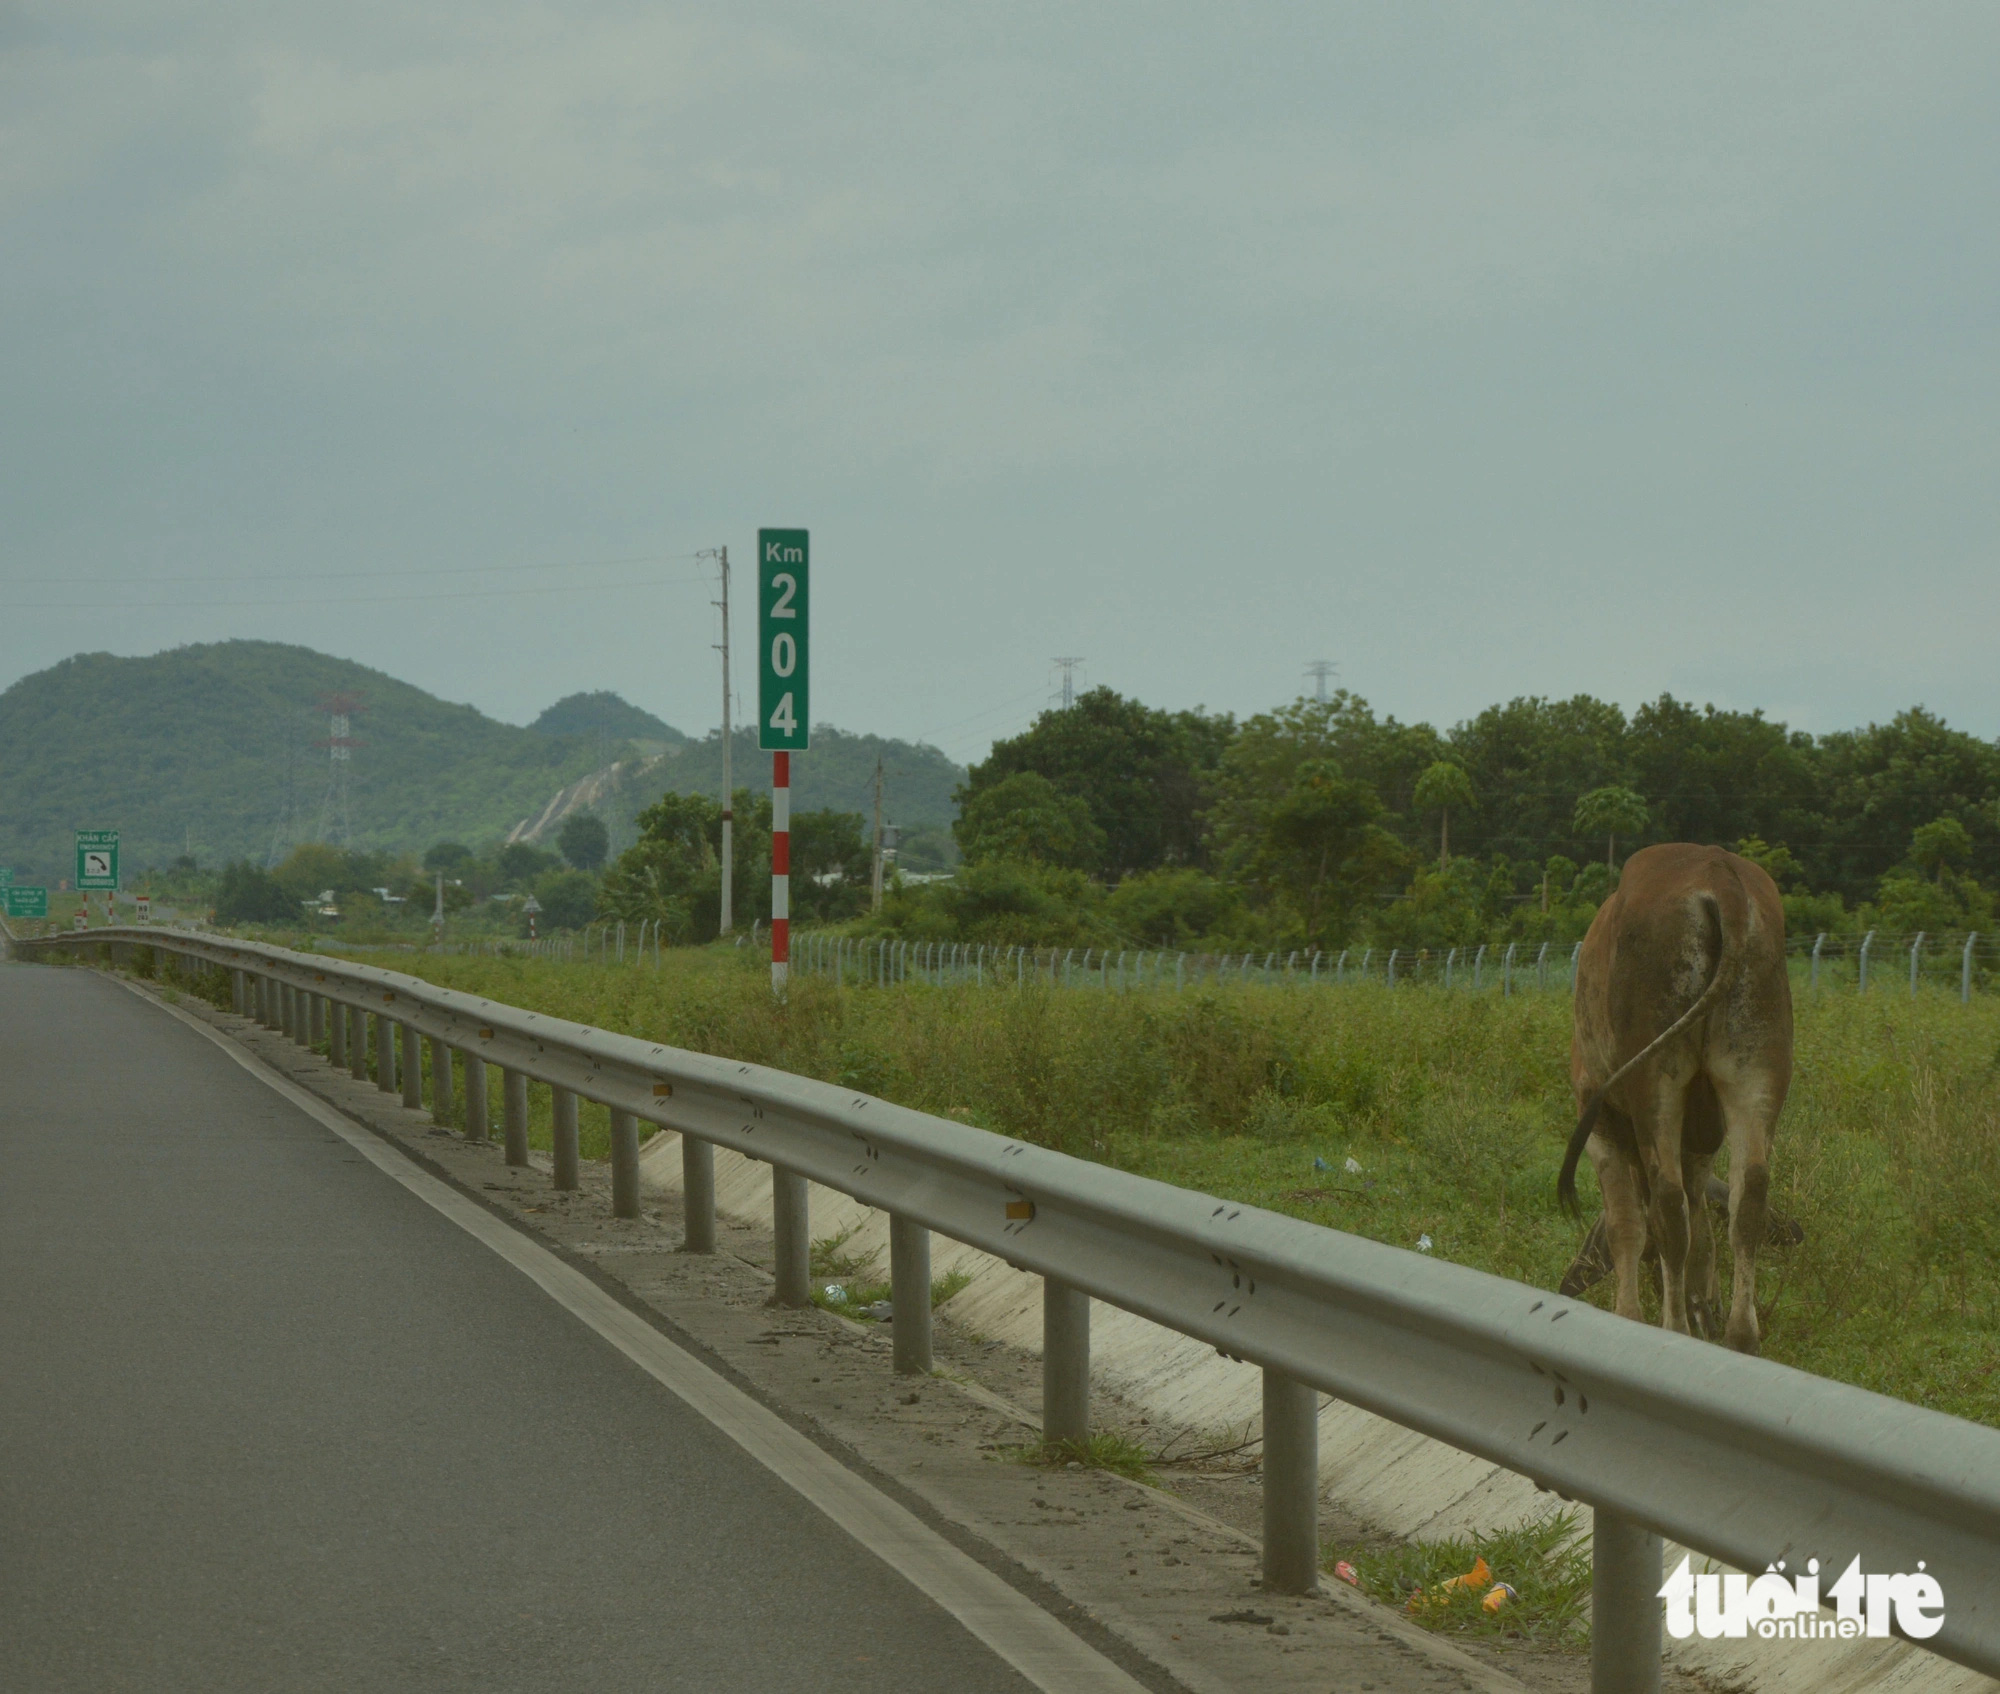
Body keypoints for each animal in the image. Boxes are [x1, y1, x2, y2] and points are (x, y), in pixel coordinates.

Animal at [1552, 844, 1792, 1352]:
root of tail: (1720, 874)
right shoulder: (1701, 1144)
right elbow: (1703, 1223)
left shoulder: (1598, 1119)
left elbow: (1626, 1224)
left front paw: (1631, 1314)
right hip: (1758, 1073)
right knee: (1749, 1197)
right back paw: (1741, 1336)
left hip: (1653, 1081)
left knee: (1666, 1205)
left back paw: (1675, 1328)